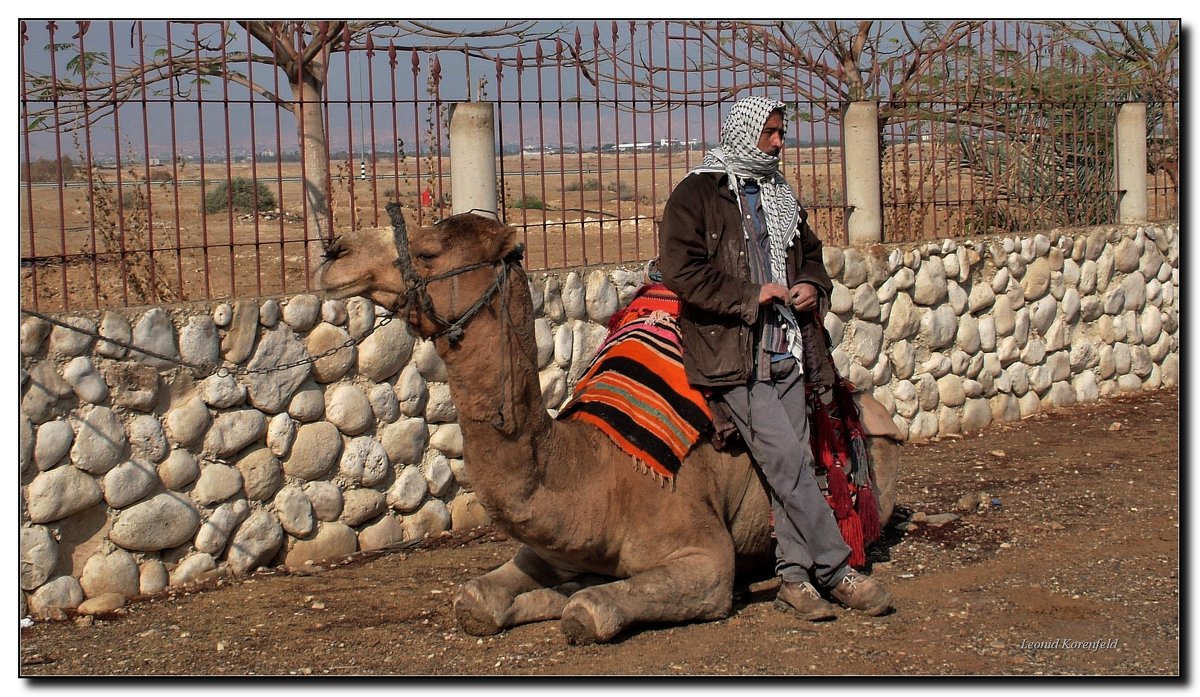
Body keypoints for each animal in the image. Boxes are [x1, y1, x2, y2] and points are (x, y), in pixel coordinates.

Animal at [319, 208, 902, 643]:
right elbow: (477, 601)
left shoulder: (706, 557)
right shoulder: (551, 546)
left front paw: (573, 598)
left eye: (429, 251)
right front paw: (542, 594)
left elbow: (589, 609)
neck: (599, 474)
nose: (334, 252)